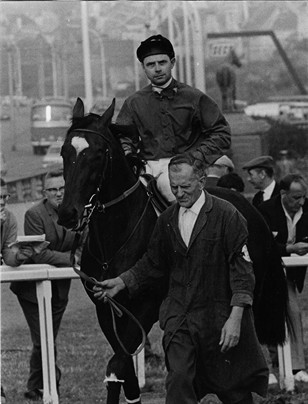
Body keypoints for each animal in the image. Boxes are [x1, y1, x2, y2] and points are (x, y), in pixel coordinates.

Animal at [58, 98, 288, 404]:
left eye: (97, 154)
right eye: (64, 152)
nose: (67, 213)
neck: (116, 239)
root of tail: (250, 208)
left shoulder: (145, 308)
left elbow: (116, 366)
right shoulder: (107, 311)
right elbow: (126, 373)